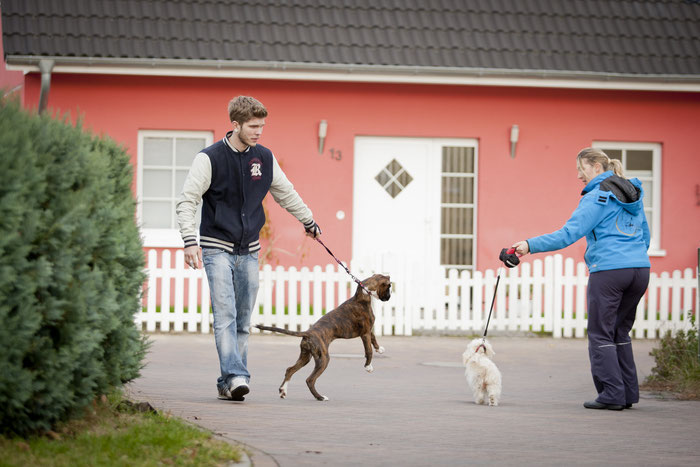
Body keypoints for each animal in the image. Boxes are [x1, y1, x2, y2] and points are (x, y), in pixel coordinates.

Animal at [254, 274, 392, 402]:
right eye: (389, 287)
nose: (389, 297)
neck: (363, 294)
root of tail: (308, 333)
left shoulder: (368, 331)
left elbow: (374, 340)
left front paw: (380, 349)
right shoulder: (365, 334)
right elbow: (368, 350)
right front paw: (368, 367)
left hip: (306, 356)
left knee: (290, 370)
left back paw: (283, 391)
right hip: (323, 358)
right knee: (310, 380)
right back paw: (320, 397)